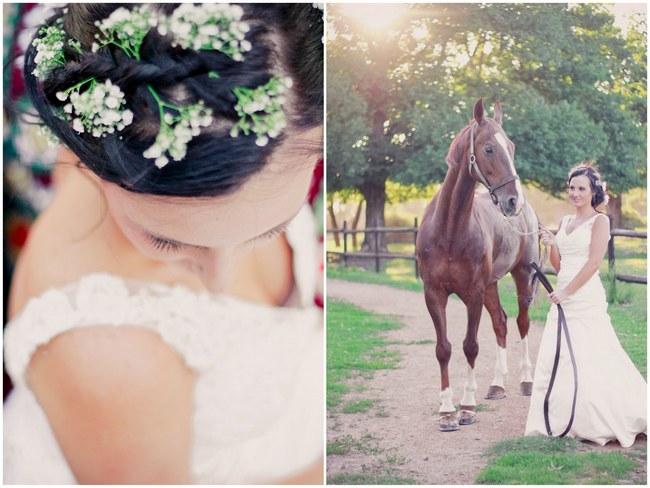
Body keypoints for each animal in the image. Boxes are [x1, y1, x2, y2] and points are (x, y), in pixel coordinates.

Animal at [416, 99, 536, 430]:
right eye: (489, 149)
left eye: (511, 146)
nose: (513, 201)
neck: (450, 229)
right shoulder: (433, 294)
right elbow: (443, 349)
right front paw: (446, 411)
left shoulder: (472, 293)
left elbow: (470, 345)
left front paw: (467, 407)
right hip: (491, 286)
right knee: (501, 323)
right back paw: (497, 385)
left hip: (523, 276)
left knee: (522, 323)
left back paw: (526, 381)